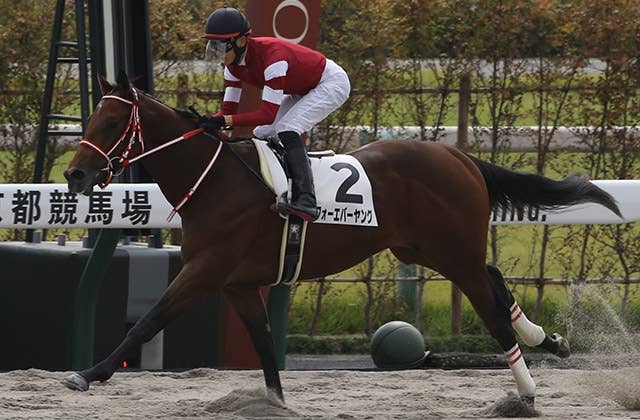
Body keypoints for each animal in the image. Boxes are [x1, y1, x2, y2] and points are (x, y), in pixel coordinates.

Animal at [61, 71, 621, 407]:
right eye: (90, 117)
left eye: (113, 120)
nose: (73, 176)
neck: (215, 179)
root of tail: (459, 156)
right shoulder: (238, 283)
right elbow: (264, 345)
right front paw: (276, 403)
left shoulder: (206, 271)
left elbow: (148, 321)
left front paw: (89, 372)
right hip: (423, 247)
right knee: (495, 279)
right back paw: (545, 340)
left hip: (450, 250)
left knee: (490, 304)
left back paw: (526, 391)